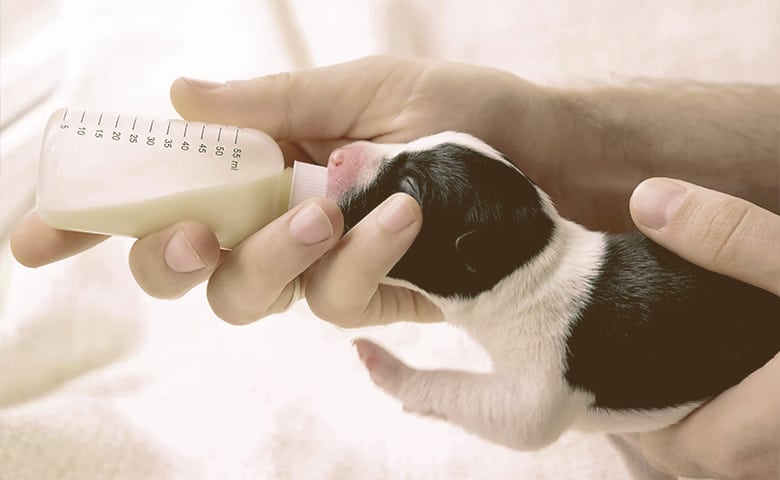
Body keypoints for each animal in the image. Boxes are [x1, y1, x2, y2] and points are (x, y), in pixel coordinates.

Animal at [324, 131, 780, 450]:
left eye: (407, 188)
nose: (335, 156)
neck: (534, 262)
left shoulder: (539, 379)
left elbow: (506, 414)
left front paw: (387, 367)